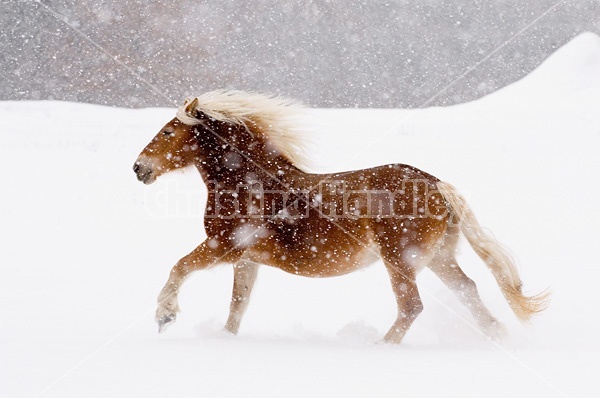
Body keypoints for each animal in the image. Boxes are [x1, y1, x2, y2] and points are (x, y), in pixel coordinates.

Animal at [132, 89, 548, 342]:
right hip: (437, 258)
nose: (138, 168)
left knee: (412, 306)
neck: (252, 182)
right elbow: (238, 304)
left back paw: (380, 347)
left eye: (167, 131)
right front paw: (225, 339)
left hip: (400, 259)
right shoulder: (246, 259)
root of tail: (435, 184)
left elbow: (179, 267)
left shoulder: (224, 245)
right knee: (469, 291)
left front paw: (164, 316)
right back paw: (497, 337)